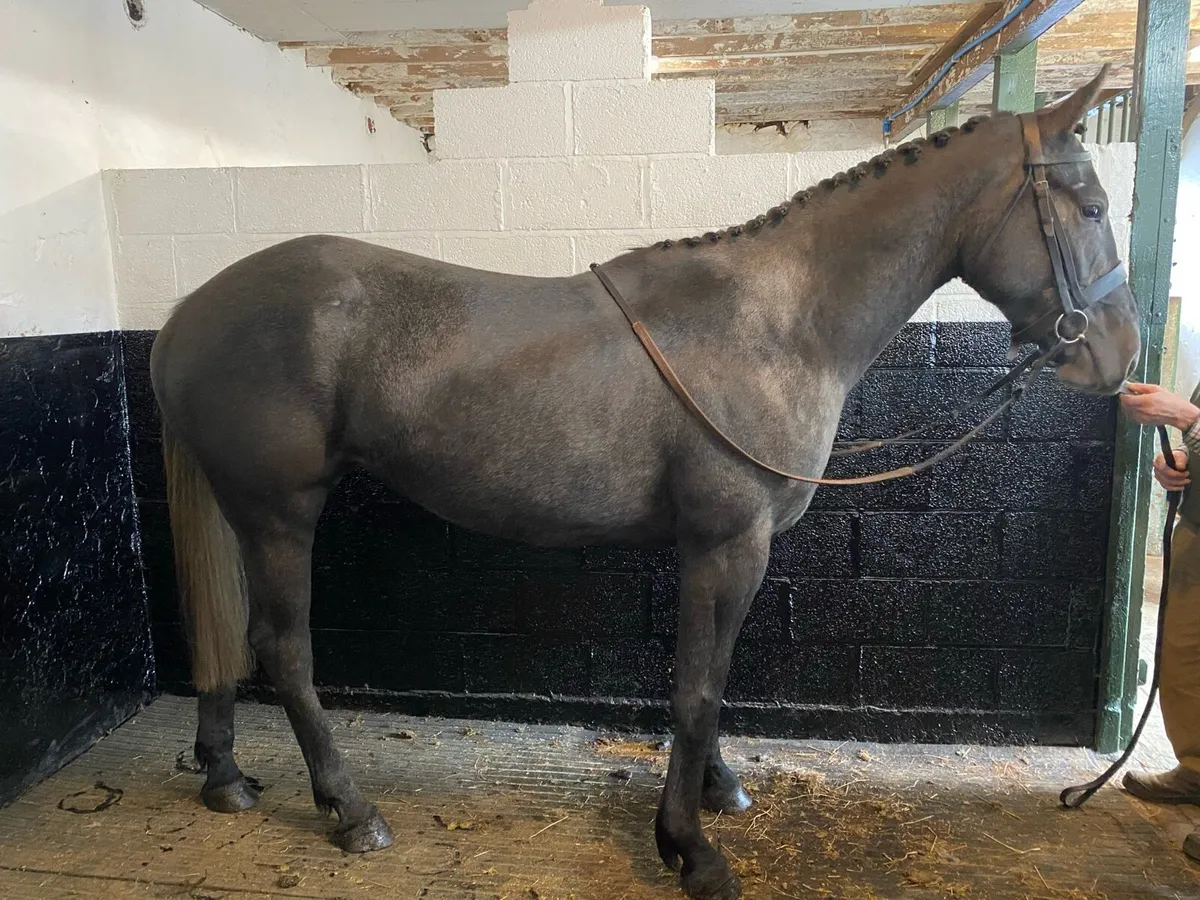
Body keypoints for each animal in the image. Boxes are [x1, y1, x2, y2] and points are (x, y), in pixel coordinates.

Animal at [150, 68, 1138, 900]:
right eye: (1091, 206)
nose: (1120, 357)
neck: (778, 323)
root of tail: (188, 314)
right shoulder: (729, 542)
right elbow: (697, 689)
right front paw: (690, 847)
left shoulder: (721, 549)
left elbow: (713, 677)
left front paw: (717, 790)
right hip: (280, 513)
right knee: (283, 648)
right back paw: (351, 810)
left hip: (246, 514)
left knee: (229, 638)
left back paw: (226, 774)